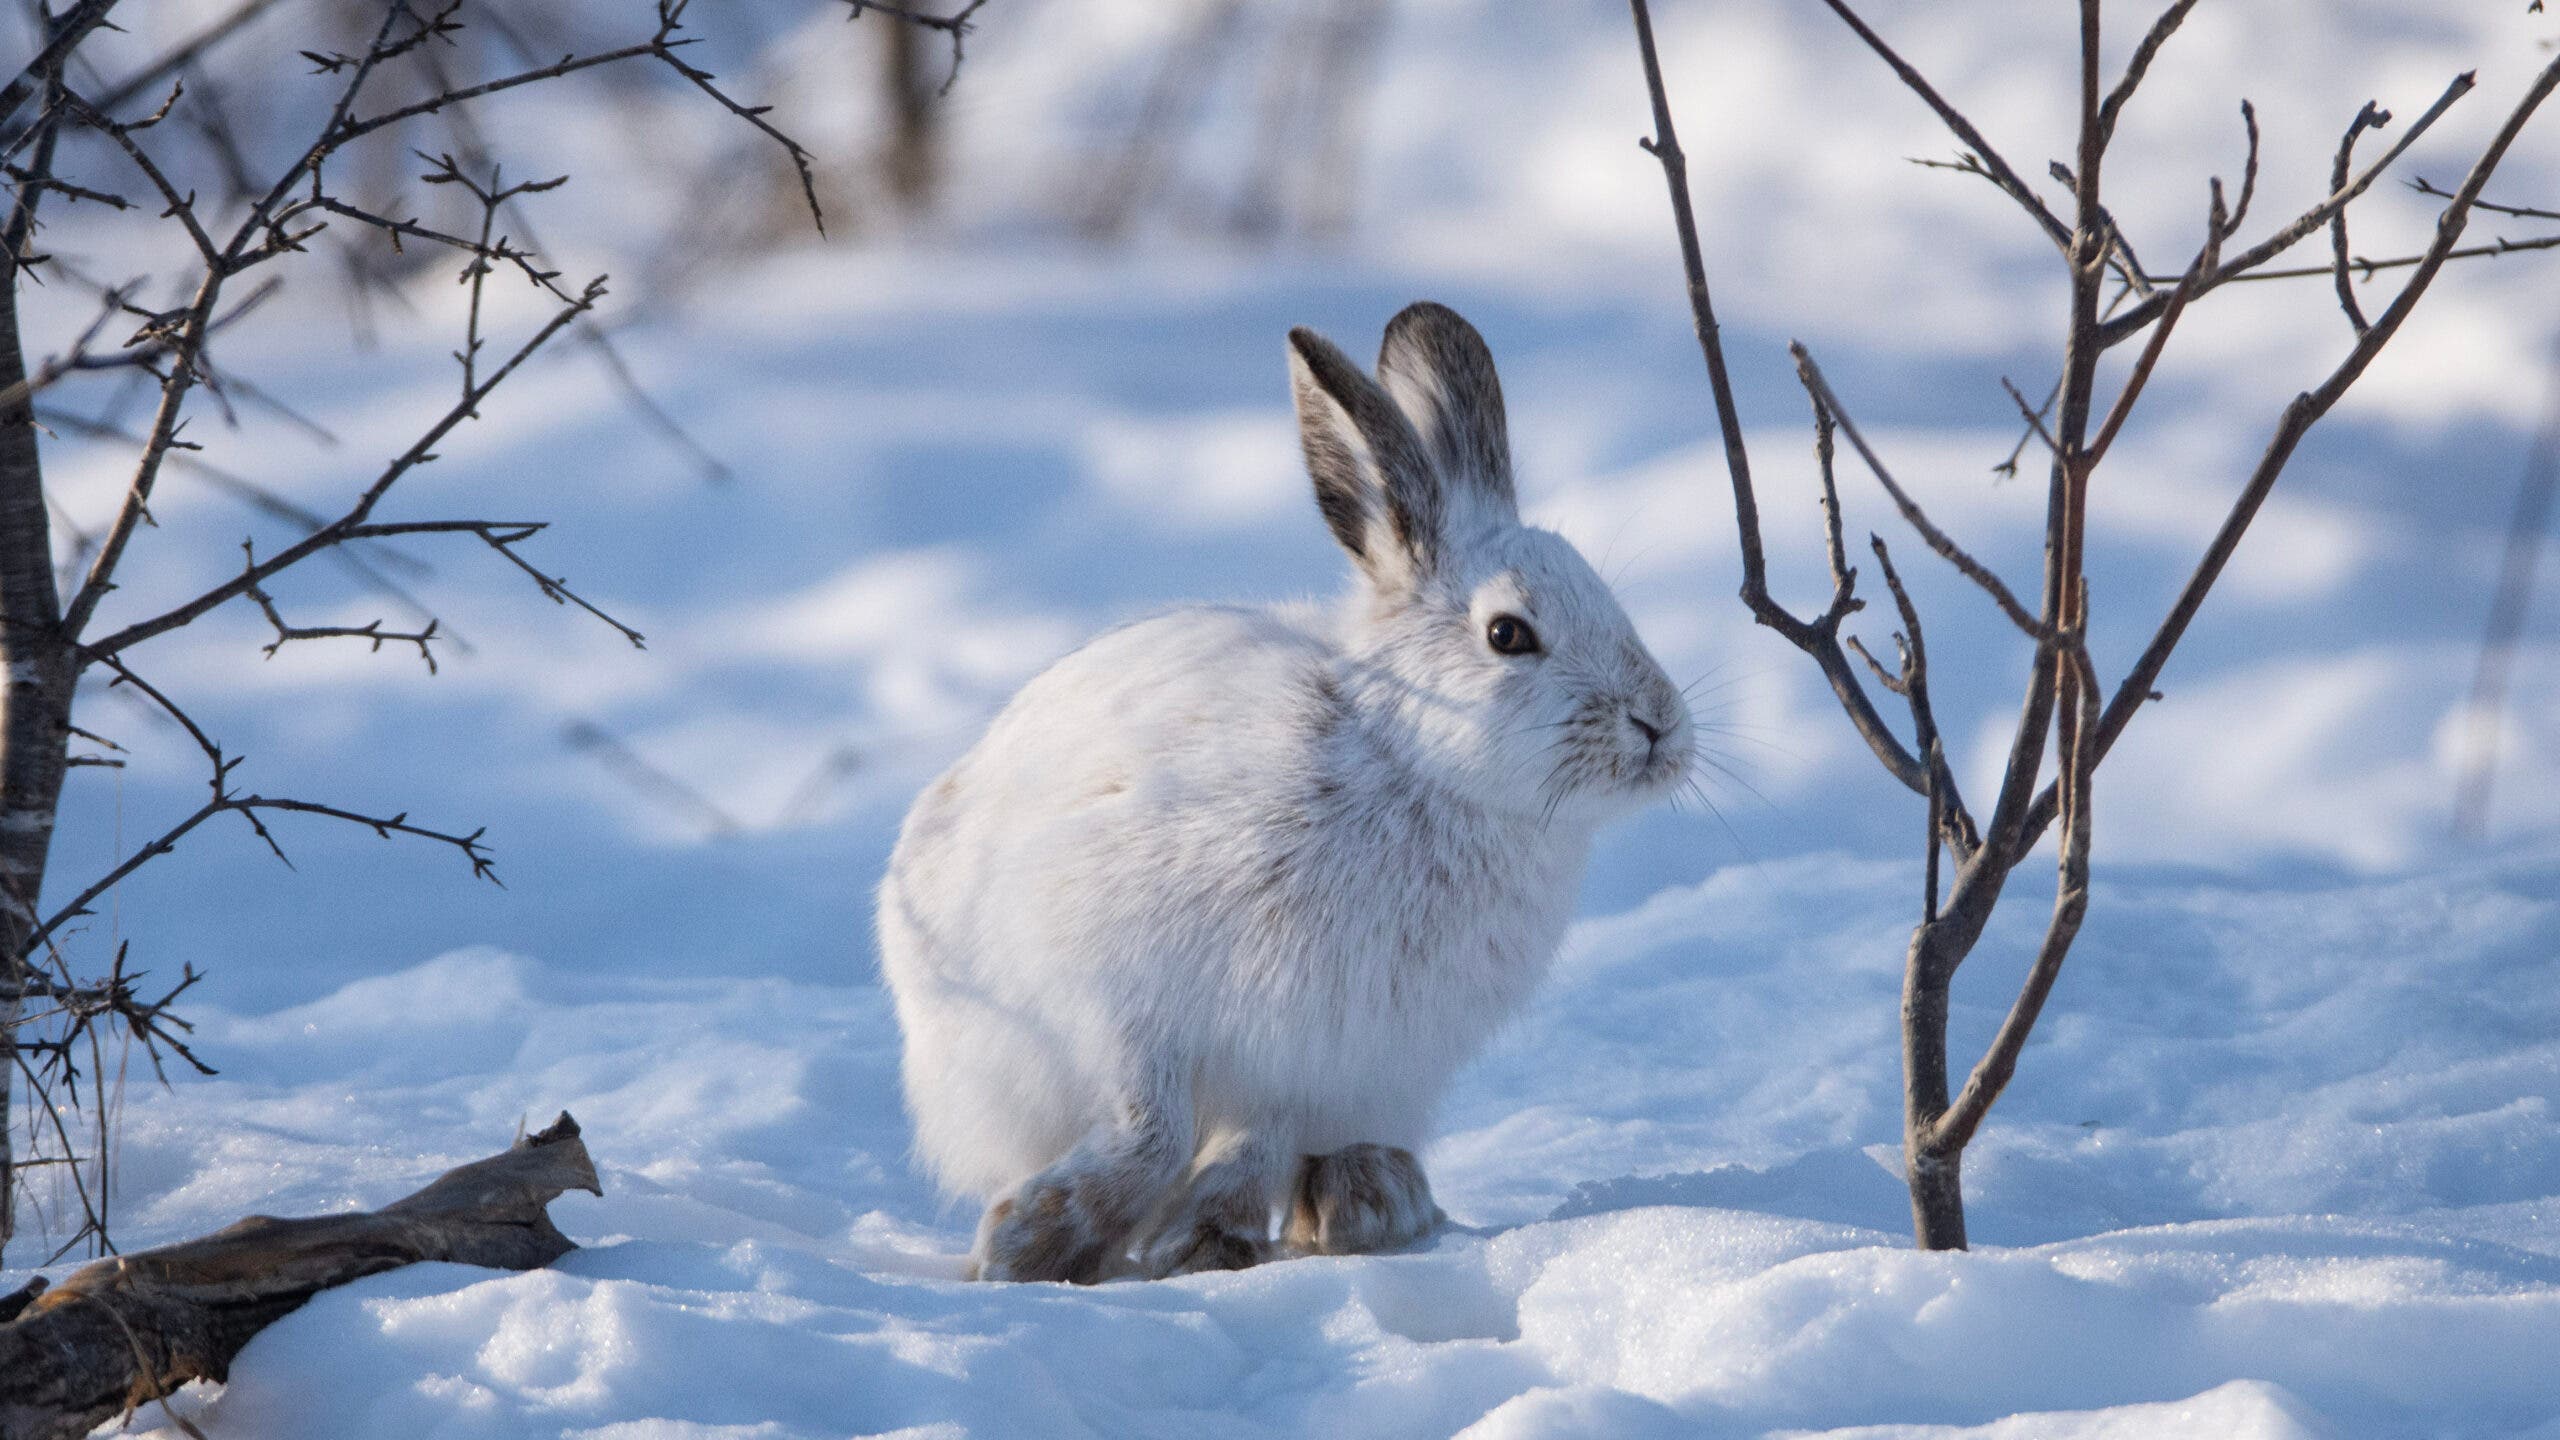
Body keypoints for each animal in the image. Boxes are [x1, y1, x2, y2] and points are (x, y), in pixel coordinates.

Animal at [876, 301, 1694, 1283]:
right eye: (1508, 635)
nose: (1661, 727)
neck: (1405, 756)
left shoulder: (1308, 1062)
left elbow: (1247, 1142)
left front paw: (1197, 1242)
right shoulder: (1118, 1002)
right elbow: (1151, 1126)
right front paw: (1029, 1241)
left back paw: (1369, 1198)